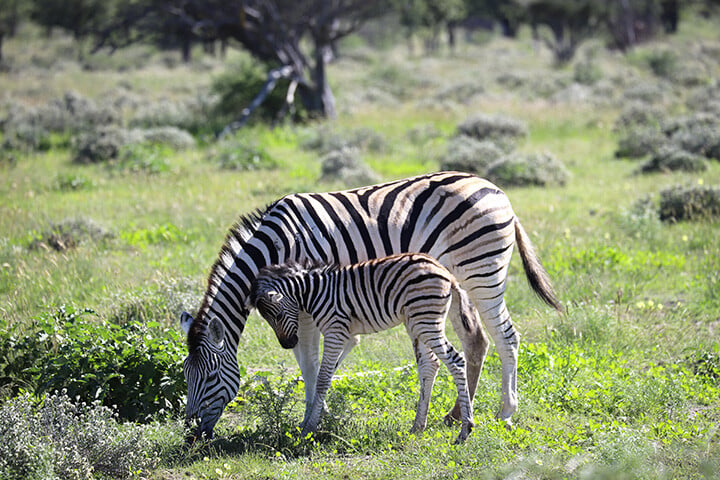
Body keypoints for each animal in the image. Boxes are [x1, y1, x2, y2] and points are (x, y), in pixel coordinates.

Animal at [252, 253, 478, 444]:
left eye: (278, 316)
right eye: (267, 319)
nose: (288, 344)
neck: (317, 293)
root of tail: (444, 271)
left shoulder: (335, 331)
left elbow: (323, 378)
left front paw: (309, 428)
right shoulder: (348, 335)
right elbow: (325, 375)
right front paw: (313, 421)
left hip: (426, 320)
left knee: (456, 361)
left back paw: (465, 430)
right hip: (416, 323)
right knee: (430, 365)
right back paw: (417, 427)